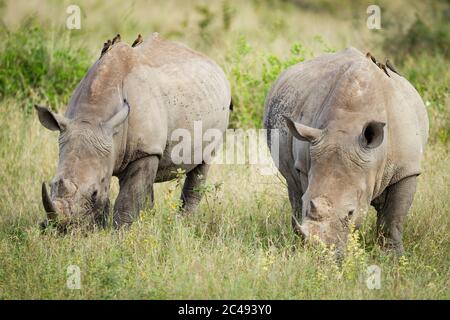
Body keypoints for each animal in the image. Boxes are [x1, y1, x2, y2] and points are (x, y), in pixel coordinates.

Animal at [35, 33, 230, 230]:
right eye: (52, 185)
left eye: (94, 194)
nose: (62, 229)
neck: (91, 117)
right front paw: (100, 228)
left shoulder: (145, 150)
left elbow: (129, 197)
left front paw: (119, 231)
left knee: (203, 163)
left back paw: (184, 223)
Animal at [264, 47, 428, 255]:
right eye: (309, 203)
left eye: (351, 213)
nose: (321, 251)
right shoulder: (306, 161)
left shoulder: (406, 169)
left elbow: (393, 218)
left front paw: (393, 257)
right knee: (292, 187)